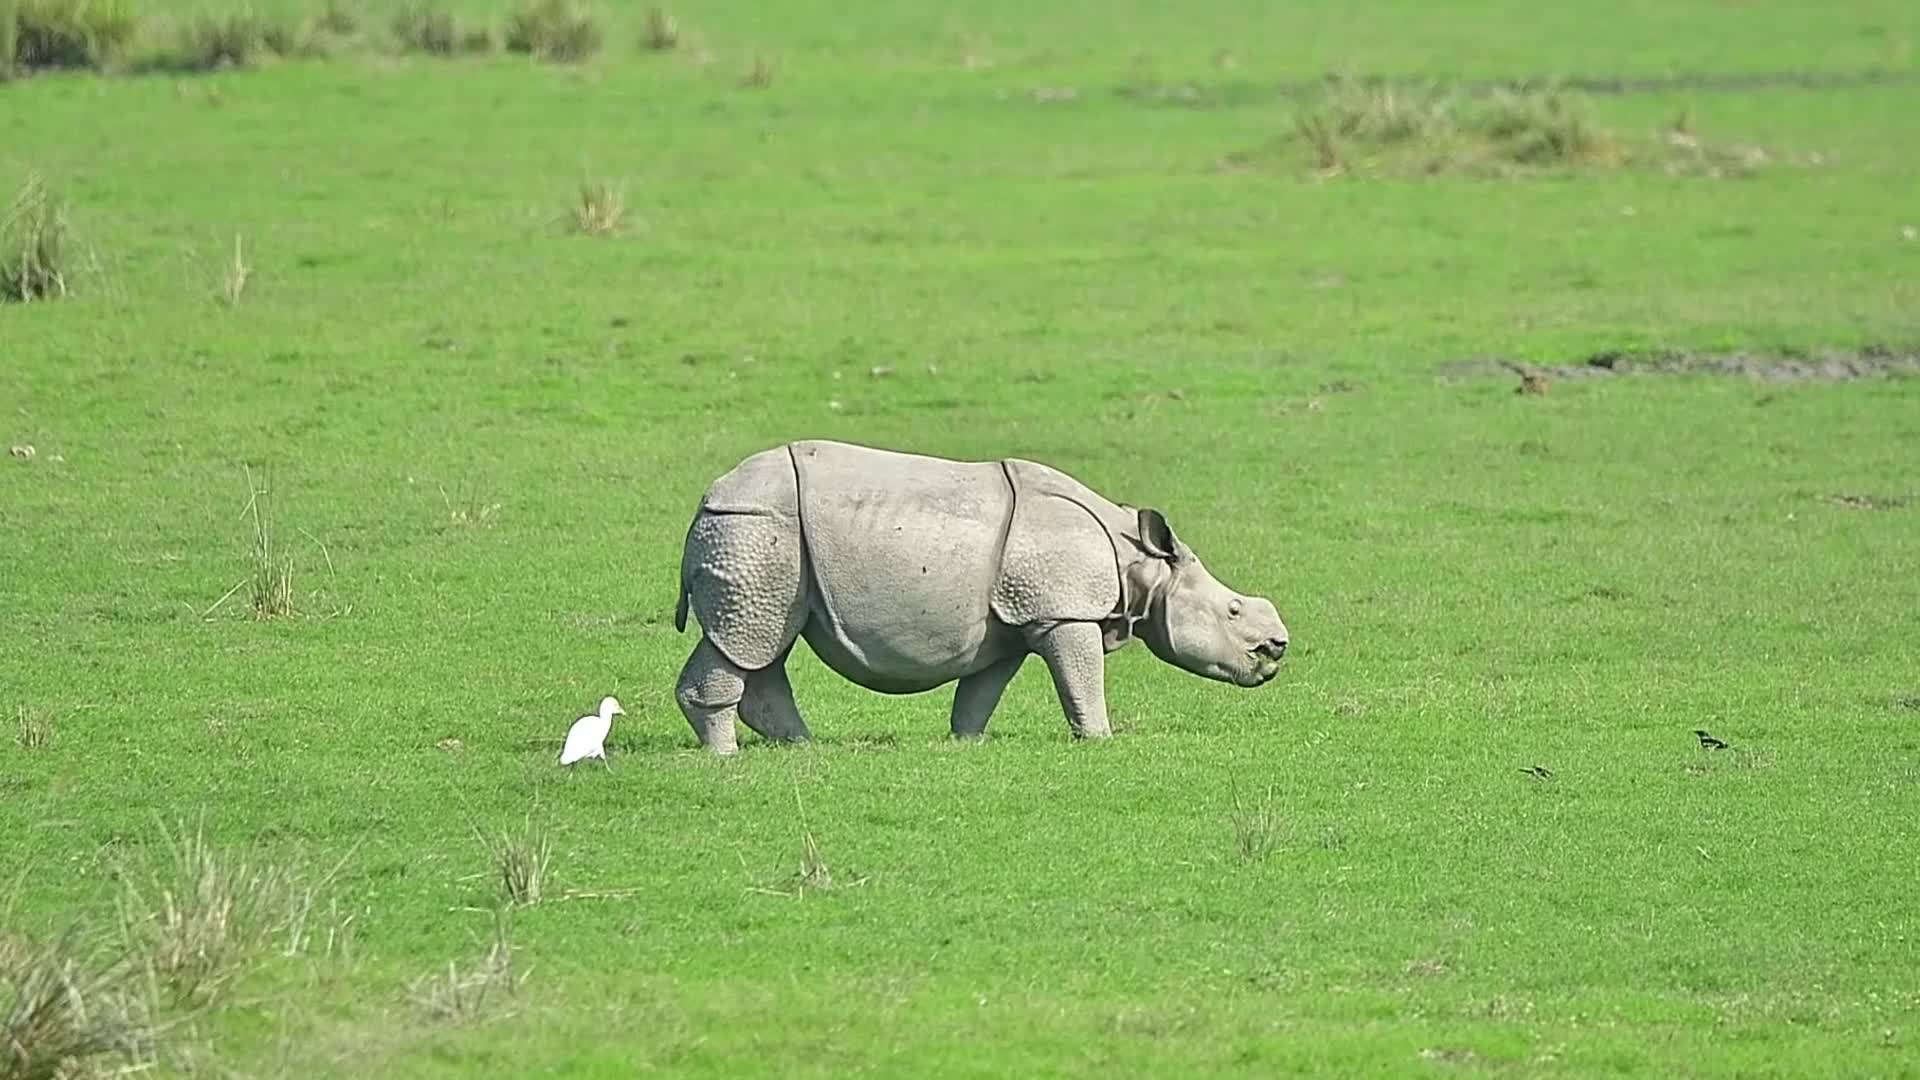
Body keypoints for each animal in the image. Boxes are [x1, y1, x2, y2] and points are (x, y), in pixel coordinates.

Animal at [671, 439, 1289, 753]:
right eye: (1234, 611)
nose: (1278, 647)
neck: (1142, 565)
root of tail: (705, 499)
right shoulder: (1064, 613)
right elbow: (1082, 677)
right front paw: (1100, 740)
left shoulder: (1013, 624)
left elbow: (982, 690)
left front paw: (967, 741)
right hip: (756, 528)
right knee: (748, 638)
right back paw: (726, 757)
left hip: (758, 534)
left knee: (761, 642)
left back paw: (801, 745)